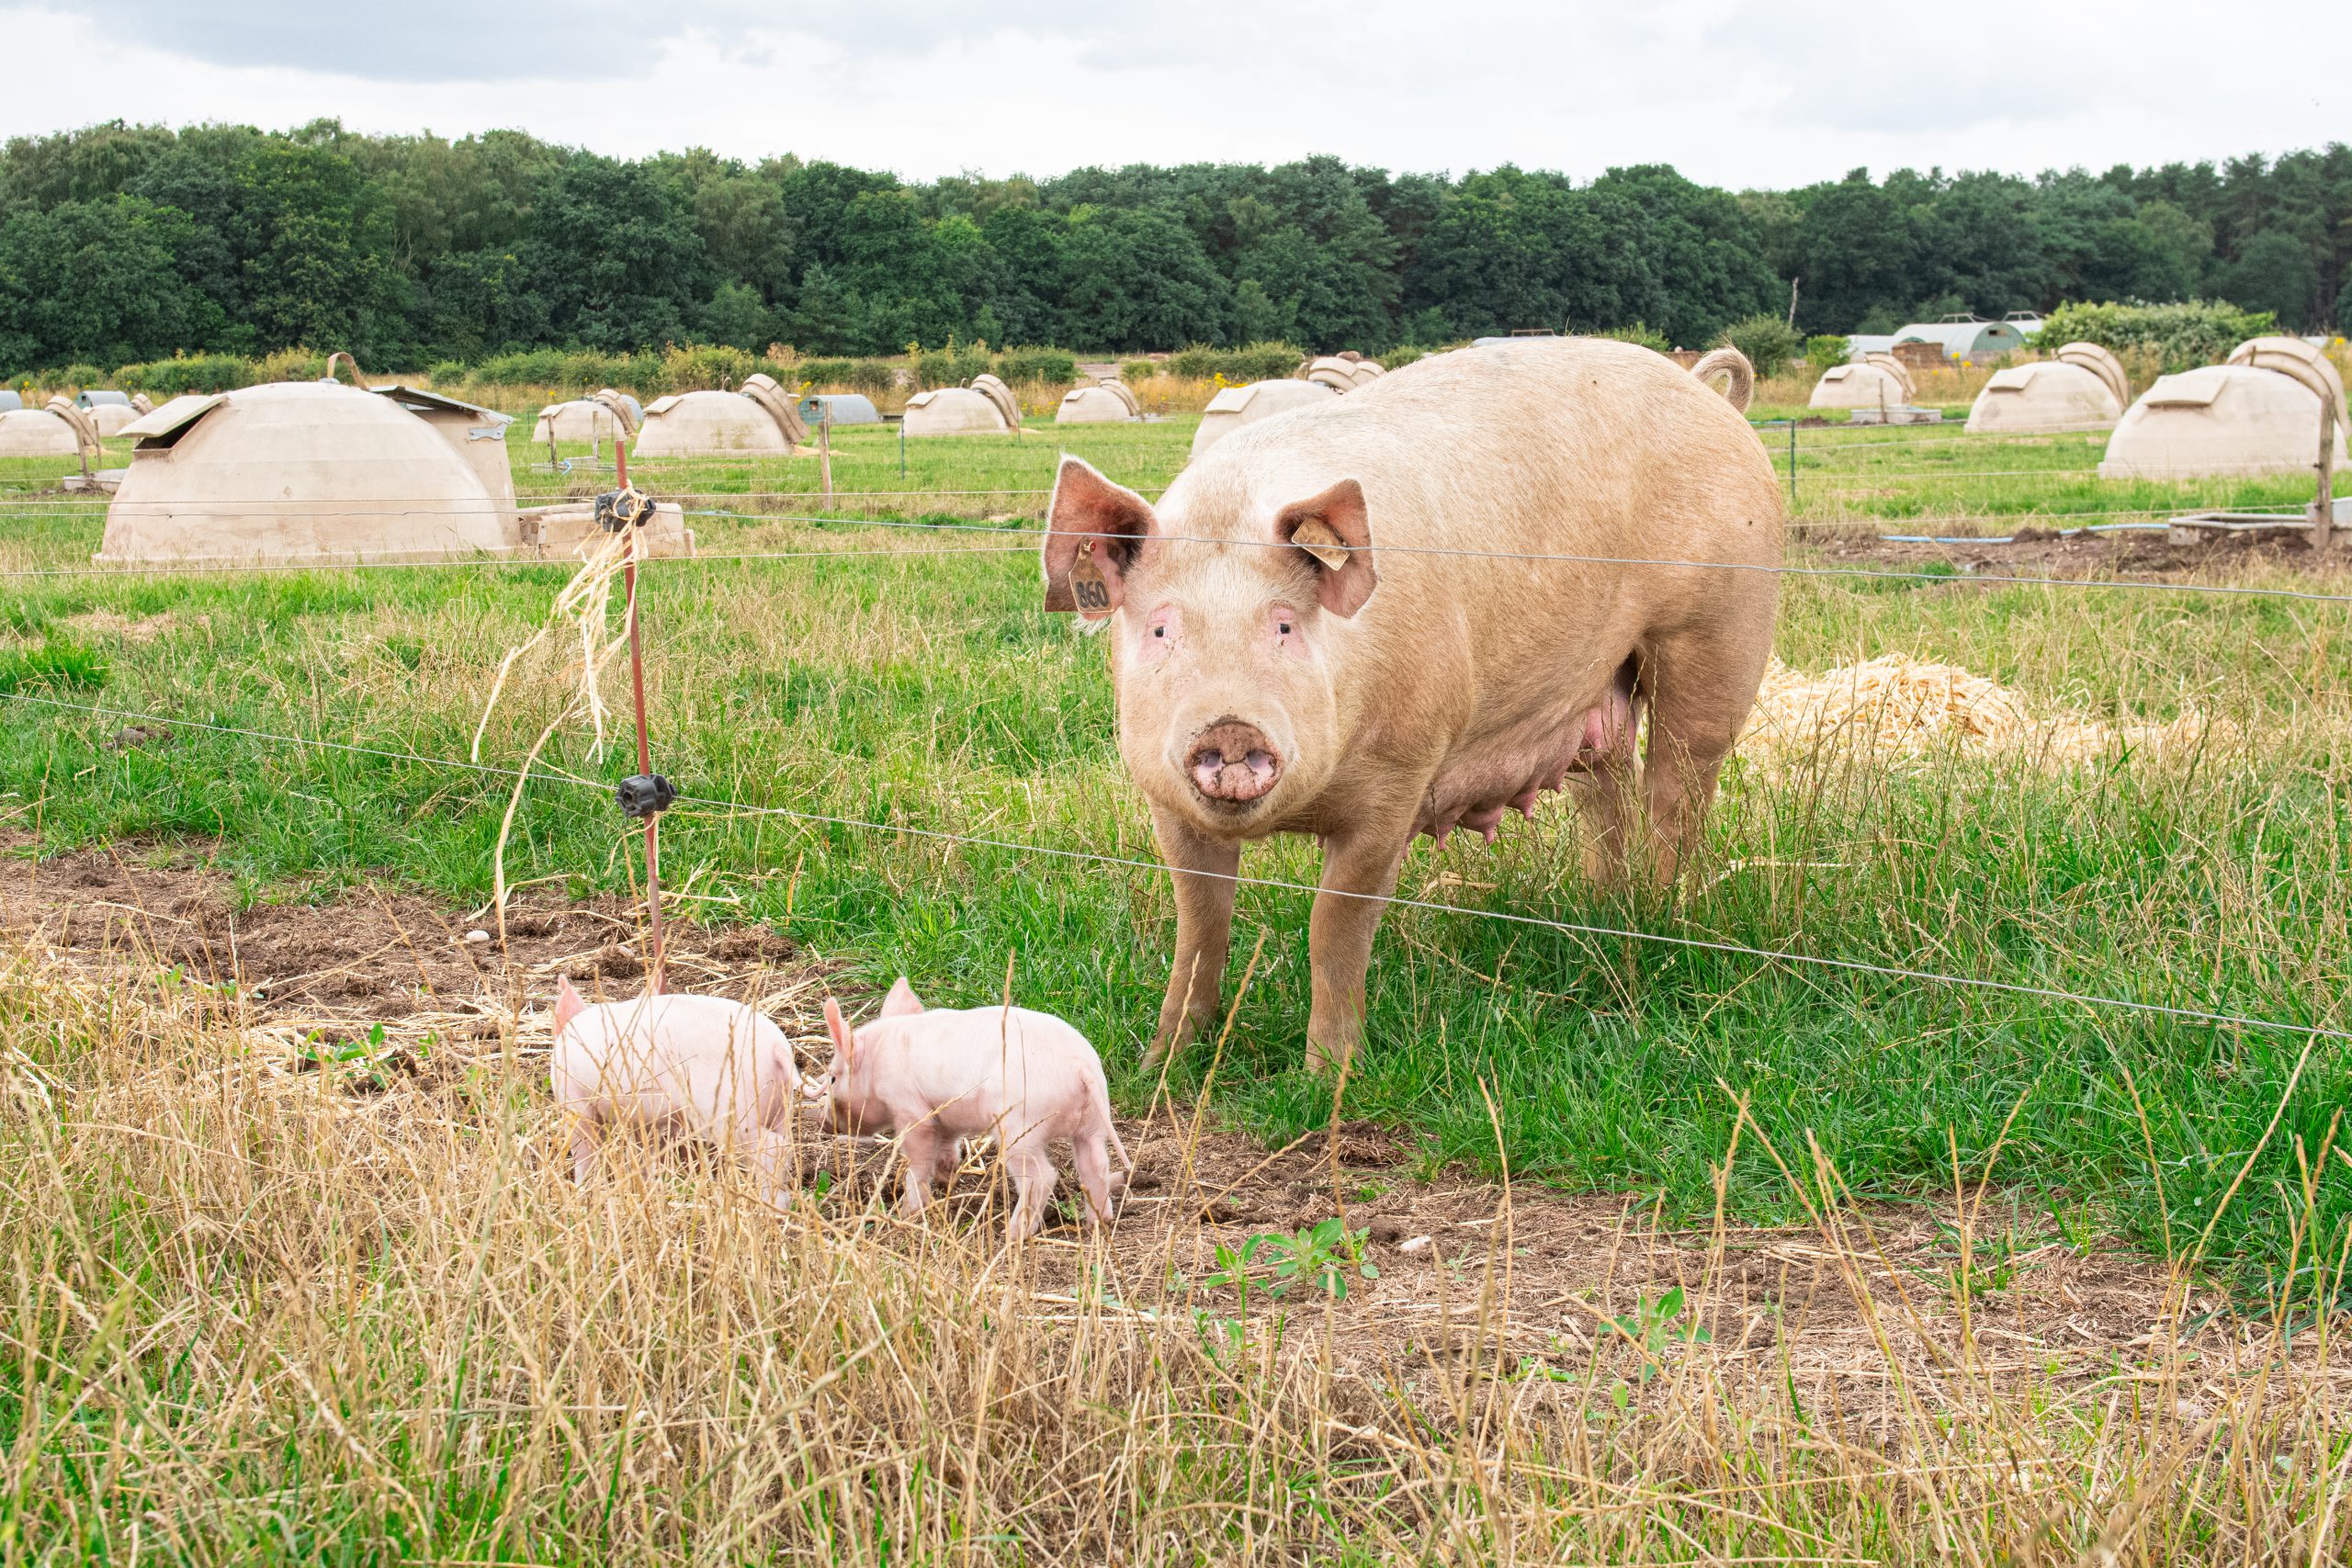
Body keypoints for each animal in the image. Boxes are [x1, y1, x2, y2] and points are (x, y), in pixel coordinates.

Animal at [552, 973, 804, 1213]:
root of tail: (777, 1049)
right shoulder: (643, 1119)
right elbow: (644, 1152)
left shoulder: (575, 1101)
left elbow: (585, 1150)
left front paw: (581, 1191)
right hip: (780, 1106)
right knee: (784, 1145)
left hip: (729, 1111)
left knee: (772, 1148)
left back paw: (768, 1209)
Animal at [818, 982, 1128, 1241]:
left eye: (832, 1078)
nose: (824, 1124)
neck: (877, 1061)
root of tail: (1080, 1067)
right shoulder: (946, 1115)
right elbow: (947, 1145)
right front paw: (947, 1179)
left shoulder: (910, 1109)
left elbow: (918, 1157)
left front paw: (908, 1212)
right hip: (1092, 1123)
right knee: (1096, 1166)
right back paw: (1098, 1222)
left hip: (1019, 1128)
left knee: (1042, 1176)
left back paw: (1012, 1235)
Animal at [1044, 341, 1778, 1081]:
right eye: (1162, 628)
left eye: (1284, 625)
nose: (1229, 726)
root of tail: (1710, 397)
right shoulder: (1165, 799)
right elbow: (1199, 925)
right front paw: (1159, 1063)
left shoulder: (1398, 776)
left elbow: (1335, 924)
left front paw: (1327, 1078)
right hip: (1602, 681)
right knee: (1607, 788)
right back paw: (1607, 906)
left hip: (1719, 627)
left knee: (1678, 790)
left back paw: (1655, 916)